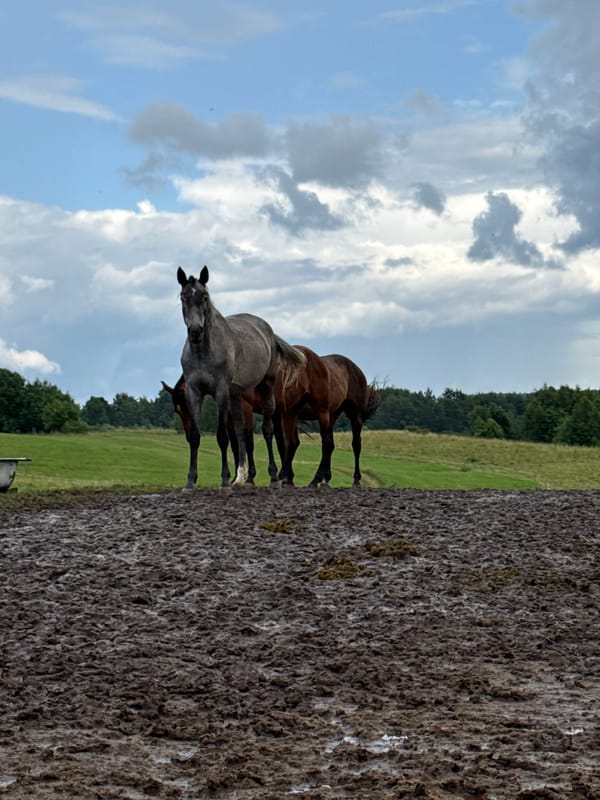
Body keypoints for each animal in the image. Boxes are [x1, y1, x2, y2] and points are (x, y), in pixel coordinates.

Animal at [176, 265, 305, 490]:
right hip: (236, 396)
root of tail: (269, 330)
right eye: (183, 297)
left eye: (205, 297)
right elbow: (196, 436)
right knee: (240, 430)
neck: (203, 353)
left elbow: (222, 437)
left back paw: (273, 477)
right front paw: (190, 481)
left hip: (266, 389)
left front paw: (224, 479)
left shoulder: (220, 391)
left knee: (268, 430)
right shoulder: (194, 392)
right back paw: (241, 477)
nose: (195, 332)